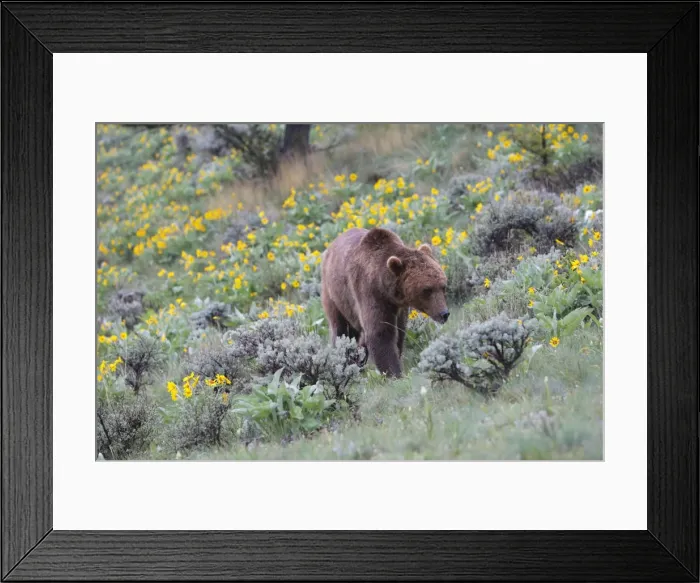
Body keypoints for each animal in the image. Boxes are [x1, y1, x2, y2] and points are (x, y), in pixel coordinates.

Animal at [321, 227, 449, 378]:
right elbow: (380, 333)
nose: (444, 313)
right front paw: (395, 373)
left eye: (443, 286)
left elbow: (399, 333)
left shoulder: (399, 308)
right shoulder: (370, 293)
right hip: (336, 297)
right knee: (342, 330)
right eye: (427, 290)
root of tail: (330, 247)